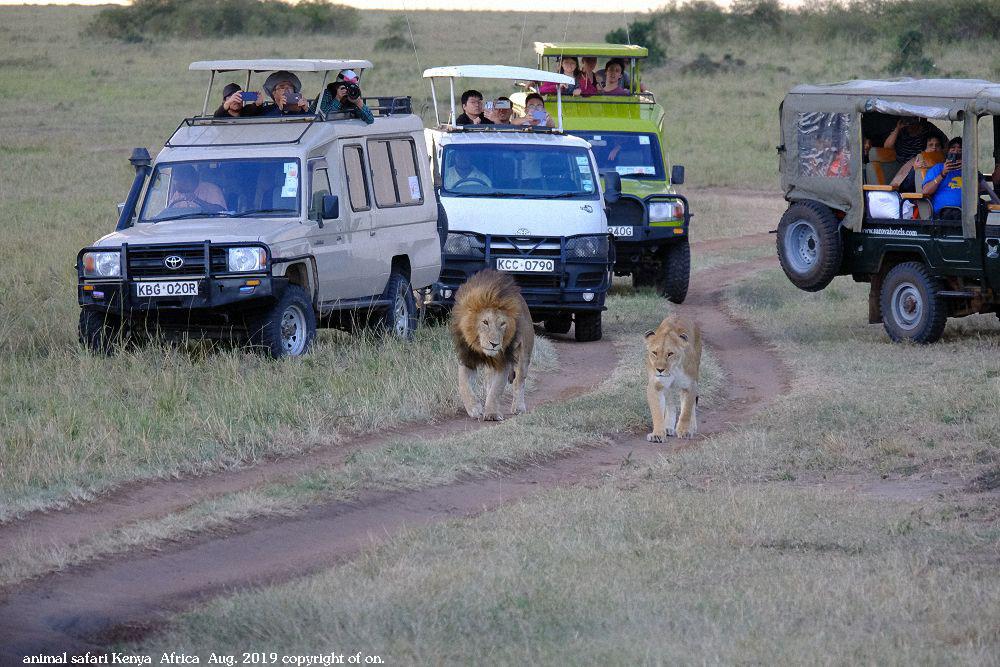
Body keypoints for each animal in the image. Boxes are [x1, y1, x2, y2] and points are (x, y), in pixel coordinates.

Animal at [452, 268, 536, 420]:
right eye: (485, 322)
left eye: (502, 324)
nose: (494, 344)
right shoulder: (467, 357)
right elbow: (463, 385)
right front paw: (474, 408)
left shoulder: (503, 361)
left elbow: (497, 388)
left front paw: (491, 413)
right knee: (488, 381)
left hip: (524, 353)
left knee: (519, 380)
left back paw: (518, 407)